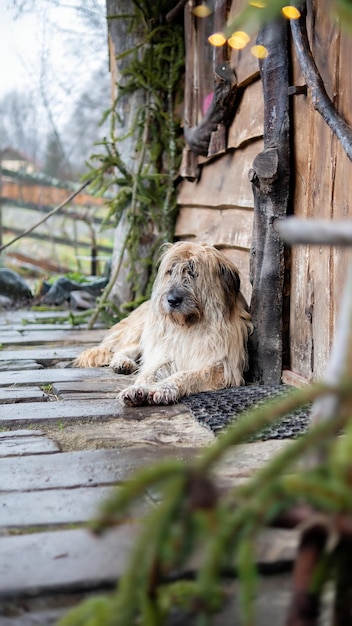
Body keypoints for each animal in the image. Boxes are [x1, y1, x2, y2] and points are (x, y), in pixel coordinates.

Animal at [74, 241, 252, 408]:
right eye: (170, 271)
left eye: (193, 272)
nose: (172, 300)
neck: (190, 326)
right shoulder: (165, 353)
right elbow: (150, 372)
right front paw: (138, 389)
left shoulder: (223, 366)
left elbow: (187, 374)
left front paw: (164, 388)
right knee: (125, 348)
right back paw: (122, 362)